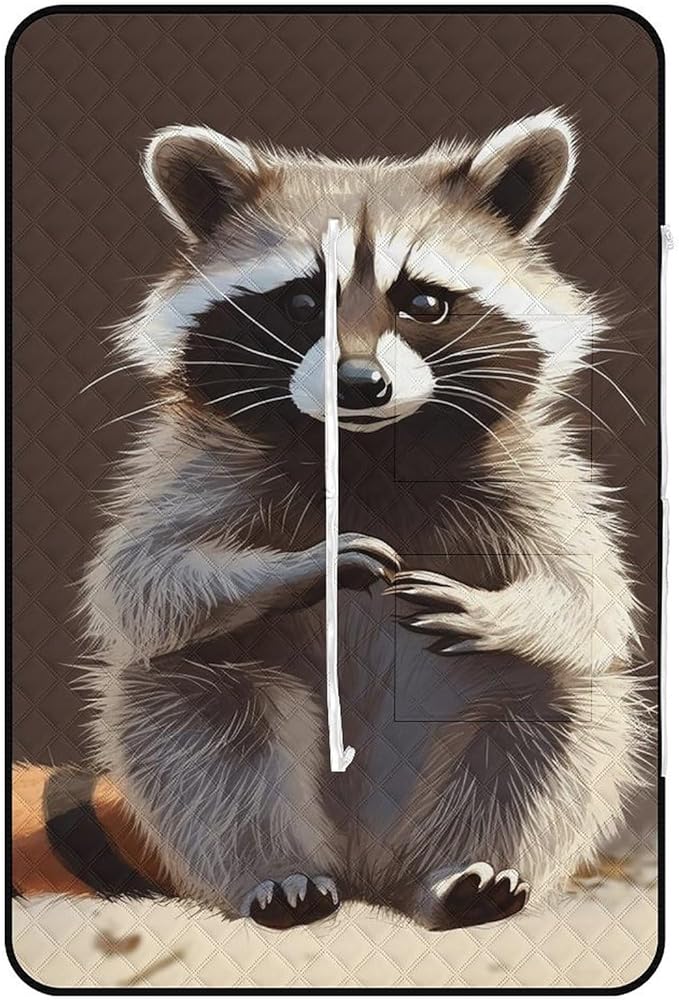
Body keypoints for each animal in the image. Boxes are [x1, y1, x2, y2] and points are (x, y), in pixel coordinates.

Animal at [82, 111, 648, 930]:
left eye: (423, 303)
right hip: (220, 732)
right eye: (299, 303)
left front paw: (499, 611)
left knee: (552, 713)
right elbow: (143, 581)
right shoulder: (201, 464)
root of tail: (370, 871)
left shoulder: (531, 472)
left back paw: (465, 874)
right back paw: (275, 872)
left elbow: (589, 598)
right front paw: (304, 566)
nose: (361, 384)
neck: (367, 448)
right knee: (202, 730)